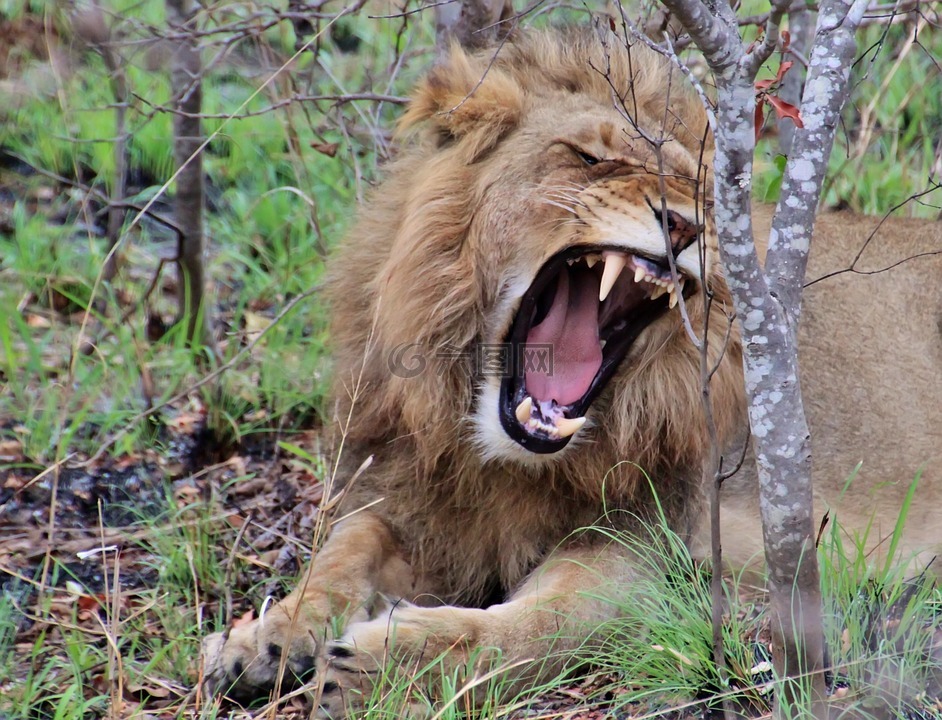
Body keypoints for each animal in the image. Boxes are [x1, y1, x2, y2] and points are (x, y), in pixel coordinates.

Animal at [201, 25, 942, 716]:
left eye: (701, 193)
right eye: (591, 157)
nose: (685, 225)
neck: (487, 455)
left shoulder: (648, 549)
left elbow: (537, 627)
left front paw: (382, 667)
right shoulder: (412, 500)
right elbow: (344, 550)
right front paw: (266, 637)